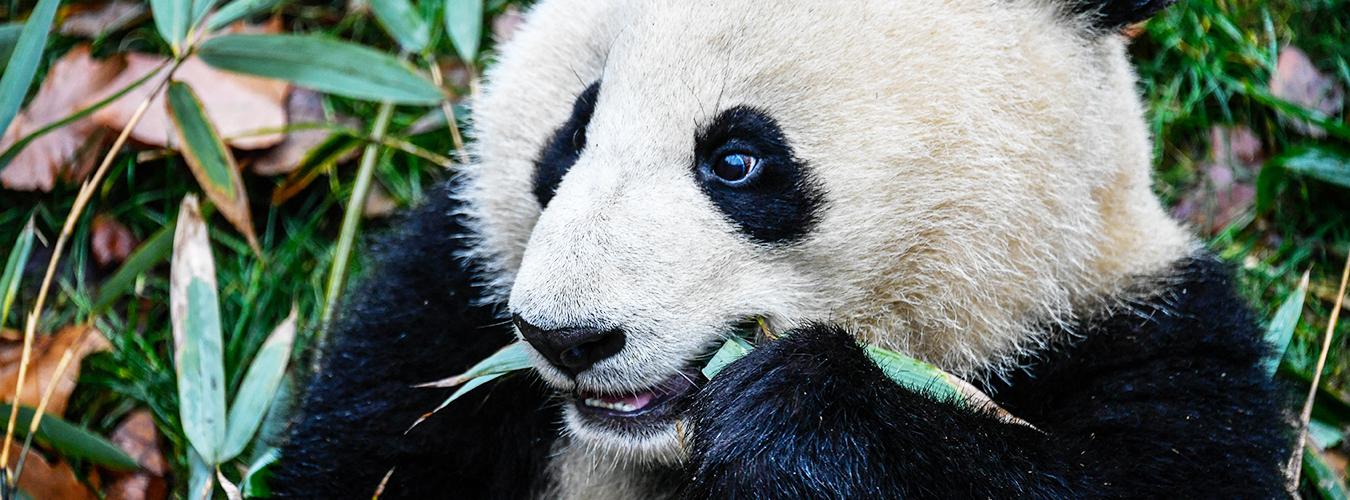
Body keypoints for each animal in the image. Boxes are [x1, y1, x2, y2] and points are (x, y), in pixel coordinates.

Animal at [268, 0, 1290, 497]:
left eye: (737, 159)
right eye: (575, 129)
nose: (565, 338)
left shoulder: (1147, 335)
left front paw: (795, 416)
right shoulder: (448, 296)